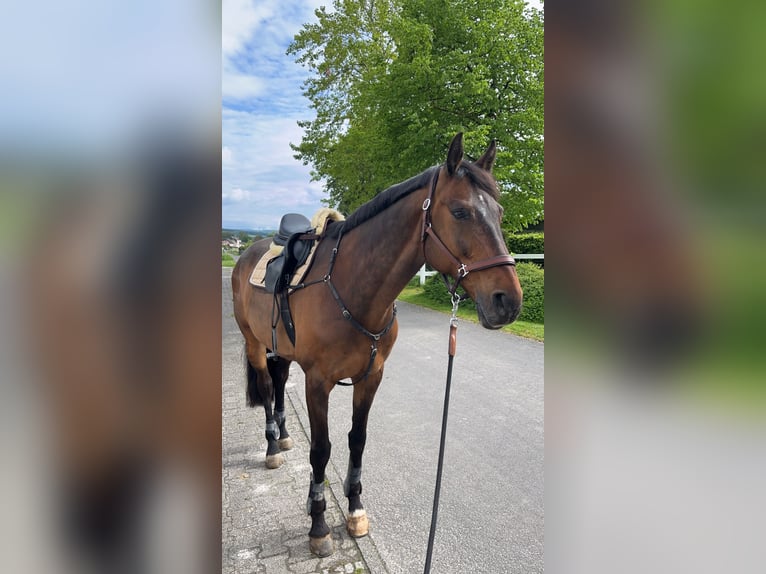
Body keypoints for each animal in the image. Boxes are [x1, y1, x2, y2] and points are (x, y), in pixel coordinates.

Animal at [231, 134, 524, 560]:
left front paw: (354, 509)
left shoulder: (372, 377)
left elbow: (357, 440)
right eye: (460, 212)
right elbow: (321, 450)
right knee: (268, 389)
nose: (509, 301)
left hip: (279, 349)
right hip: (254, 343)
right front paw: (318, 524)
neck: (353, 288)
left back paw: (284, 435)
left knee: (280, 381)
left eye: (499, 213)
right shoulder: (317, 383)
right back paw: (272, 448)